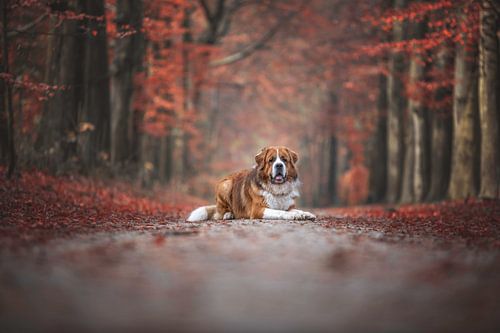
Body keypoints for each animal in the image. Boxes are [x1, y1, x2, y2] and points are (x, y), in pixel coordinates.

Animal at [188, 145, 316, 220]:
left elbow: (295, 209)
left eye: (284, 159)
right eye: (271, 160)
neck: (276, 189)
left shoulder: (287, 205)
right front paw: (294, 215)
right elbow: (279, 212)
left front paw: (305, 214)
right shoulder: (258, 210)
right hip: (226, 185)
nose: (279, 165)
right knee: (220, 213)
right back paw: (228, 214)